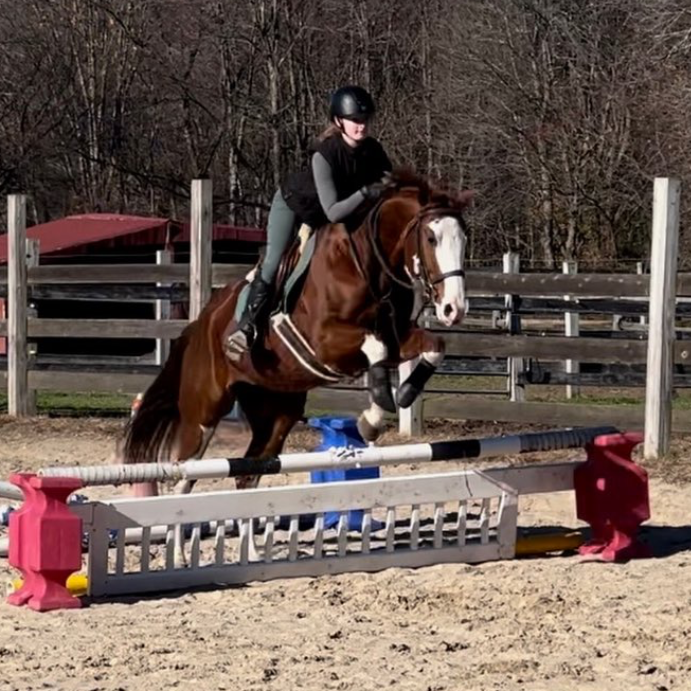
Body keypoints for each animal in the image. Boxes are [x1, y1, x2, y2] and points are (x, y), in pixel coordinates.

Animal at [121, 172, 474, 498]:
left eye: (464, 238)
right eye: (430, 238)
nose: (453, 309)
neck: (367, 264)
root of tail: (199, 324)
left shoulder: (397, 336)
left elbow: (434, 345)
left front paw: (403, 395)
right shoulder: (326, 344)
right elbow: (375, 348)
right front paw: (375, 414)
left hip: (275, 410)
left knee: (249, 472)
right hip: (204, 411)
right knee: (185, 474)